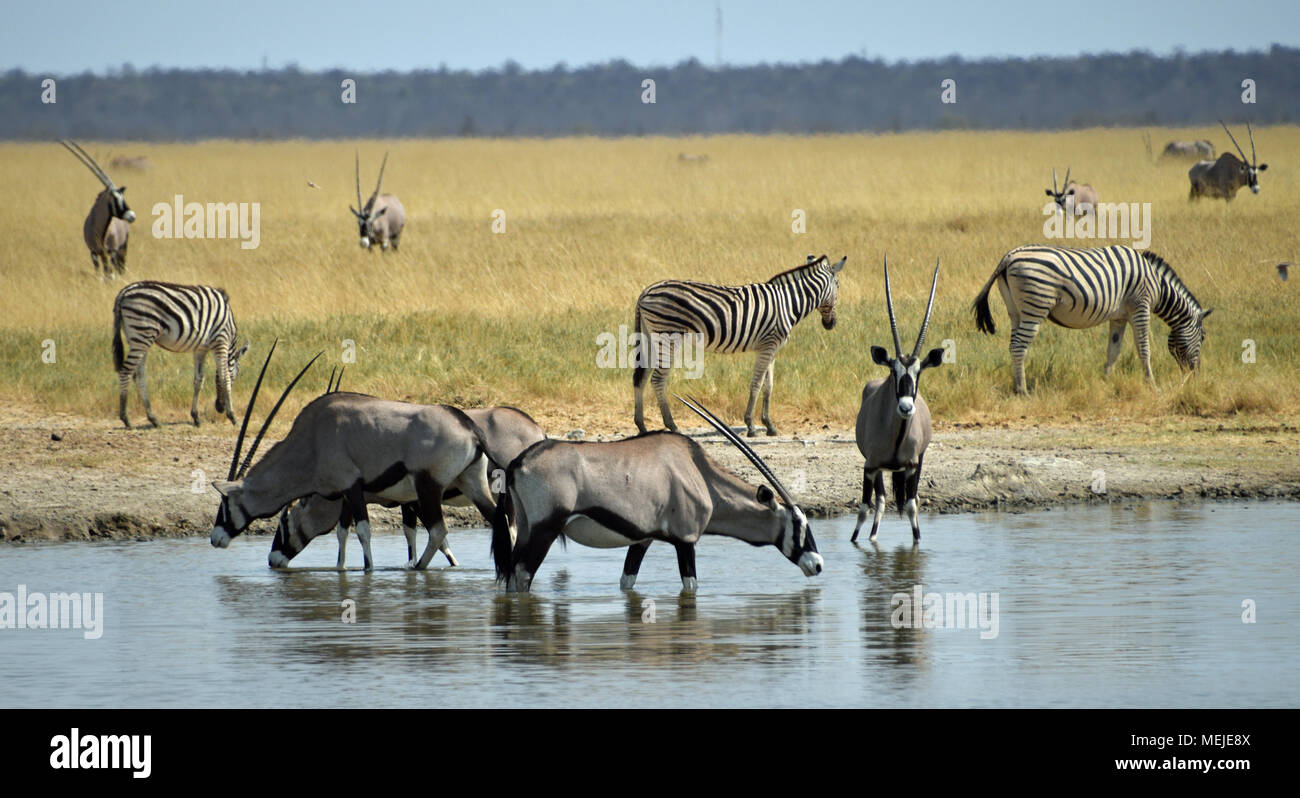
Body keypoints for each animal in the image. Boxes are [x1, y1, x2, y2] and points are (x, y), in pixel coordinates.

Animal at [61, 142, 135, 279]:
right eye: (115, 198)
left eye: (122, 196)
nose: (132, 215)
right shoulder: (94, 252)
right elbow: (100, 274)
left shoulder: (111, 251)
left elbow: (109, 275)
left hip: (122, 247)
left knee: (119, 268)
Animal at [115, 283, 252, 431]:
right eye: (235, 377)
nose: (219, 408)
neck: (229, 325)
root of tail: (124, 292)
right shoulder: (221, 341)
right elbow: (224, 376)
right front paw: (233, 417)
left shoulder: (200, 348)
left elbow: (198, 380)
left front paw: (196, 417)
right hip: (142, 332)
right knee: (125, 371)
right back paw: (126, 419)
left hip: (136, 338)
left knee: (139, 376)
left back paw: (154, 419)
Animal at [631, 254, 852, 436]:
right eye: (839, 285)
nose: (831, 324)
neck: (788, 302)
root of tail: (646, 291)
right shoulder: (769, 344)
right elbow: (756, 384)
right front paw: (751, 425)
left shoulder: (770, 348)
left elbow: (769, 386)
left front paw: (769, 425)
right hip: (668, 335)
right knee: (658, 380)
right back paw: (672, 426)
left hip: (651, 337)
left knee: (640, 378)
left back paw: (642, 426)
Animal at [847, 259, 941, 548]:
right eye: (893, 370)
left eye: (919, 372)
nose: (906, 408)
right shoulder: (870, 466)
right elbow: (864, 507)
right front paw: (855, 541)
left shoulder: (912, 466)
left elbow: (911, 505)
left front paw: (916, 544)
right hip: (876, 468)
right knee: (879, 500)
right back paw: (872, 538)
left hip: (918, 463)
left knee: (906, 499)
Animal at [972, 244, 1211, 395]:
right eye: (1203, 338)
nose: (1195, 374)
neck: (1158, 286)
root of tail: (1009, 256)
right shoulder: (1140, 307)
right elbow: (1144, 348)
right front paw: (1152, 385)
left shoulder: (1119, 317)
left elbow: (1113, 350)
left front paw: (1107, 380)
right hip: (1035, 305)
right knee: (1019, 346)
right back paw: (1023, 391)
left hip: (1015, 312)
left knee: (1013, 344)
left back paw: (1015, 386)